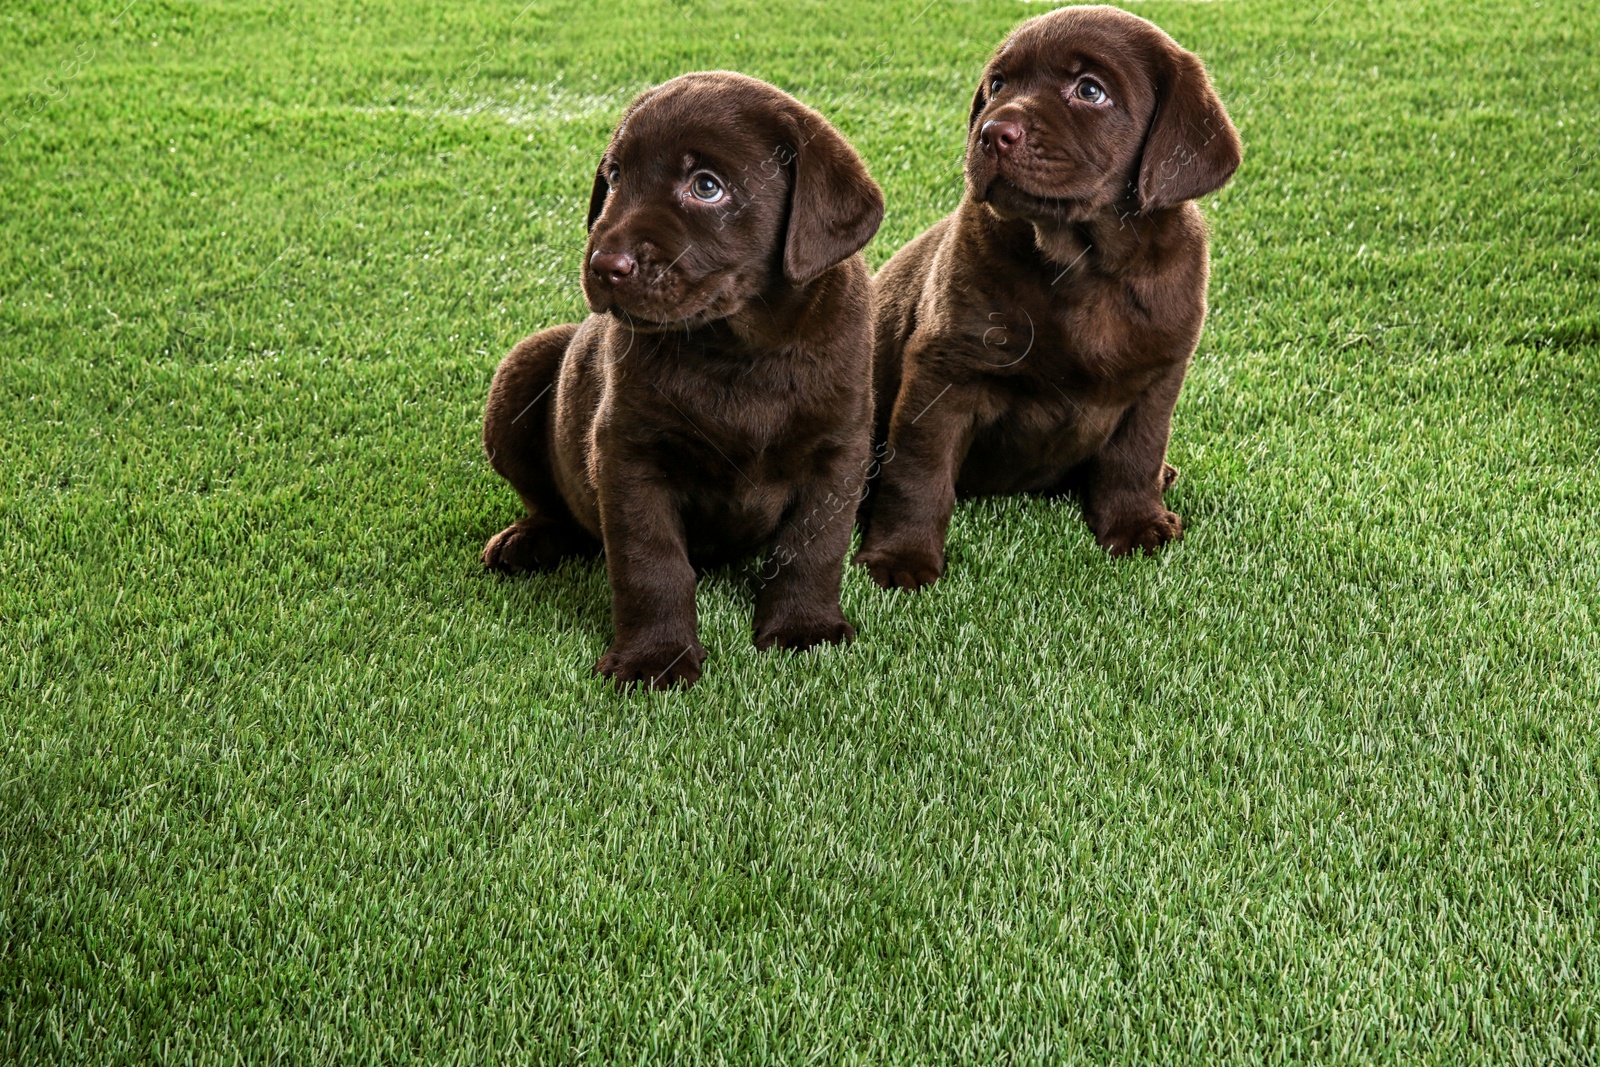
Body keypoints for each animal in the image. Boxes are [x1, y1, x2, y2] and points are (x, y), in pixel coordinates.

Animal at [486, 75, 889, 694]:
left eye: (706, 187)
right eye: (615, 177)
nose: (605, 264)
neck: (739, 349)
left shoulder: (839, 447)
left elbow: (812, 546)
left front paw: (804, 629)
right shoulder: (628, 455)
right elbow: (651, 563)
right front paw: (655, 657)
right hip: (521, 372)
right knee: (557, 508)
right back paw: (527, 541)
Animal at [857, 6, 1241, 591]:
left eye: (1090, 90)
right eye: (997, 85)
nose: (993, 133)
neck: (1084, 266)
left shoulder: (1160, 375)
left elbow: (1135, 455)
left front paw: (1136, 524)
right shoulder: (943, 370)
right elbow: (919, 473)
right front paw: (900, 557)